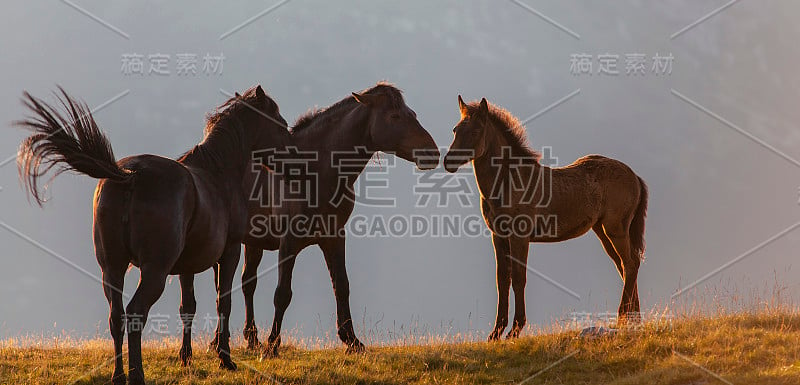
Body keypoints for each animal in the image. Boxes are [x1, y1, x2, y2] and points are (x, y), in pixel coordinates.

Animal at [17, 85, 292, 384]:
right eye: (279, 121)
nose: (293, 153)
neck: (219, 174)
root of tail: (129, 175)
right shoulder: (230, 251)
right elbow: (224, 302)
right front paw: (225, 358)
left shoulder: (187, 266)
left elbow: (188, 307)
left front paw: (186, 358)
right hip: (154, 271)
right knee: (135, 313)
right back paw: (137, 374)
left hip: (112, 268)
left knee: (116, 317)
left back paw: (118, 375)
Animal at [206, 82, 440, 356]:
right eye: (395, 116)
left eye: (412, 113)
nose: (432, 152)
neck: (311, 173)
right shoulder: (289, 243)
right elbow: (282, 294)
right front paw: (273, 345)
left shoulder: (334, 237)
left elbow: (342, 285)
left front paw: (352, 340)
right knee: (223, 286)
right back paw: (221, 341)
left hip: (254, 242)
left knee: (246, 283)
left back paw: (251, 338)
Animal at [440, 96, 648, 340]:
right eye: (455, 129)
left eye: (475, 131)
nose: (448, 161)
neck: (509, 181)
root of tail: (635, 176)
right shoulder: (498, 236)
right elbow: (502, 280)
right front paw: (496, 333)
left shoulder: (519, 237)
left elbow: (519, 278)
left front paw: (515, 329)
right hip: (603, 231)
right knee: (625, 265)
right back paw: (633, 321)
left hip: (615, 228)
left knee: (630, 264)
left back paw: (623, 318)